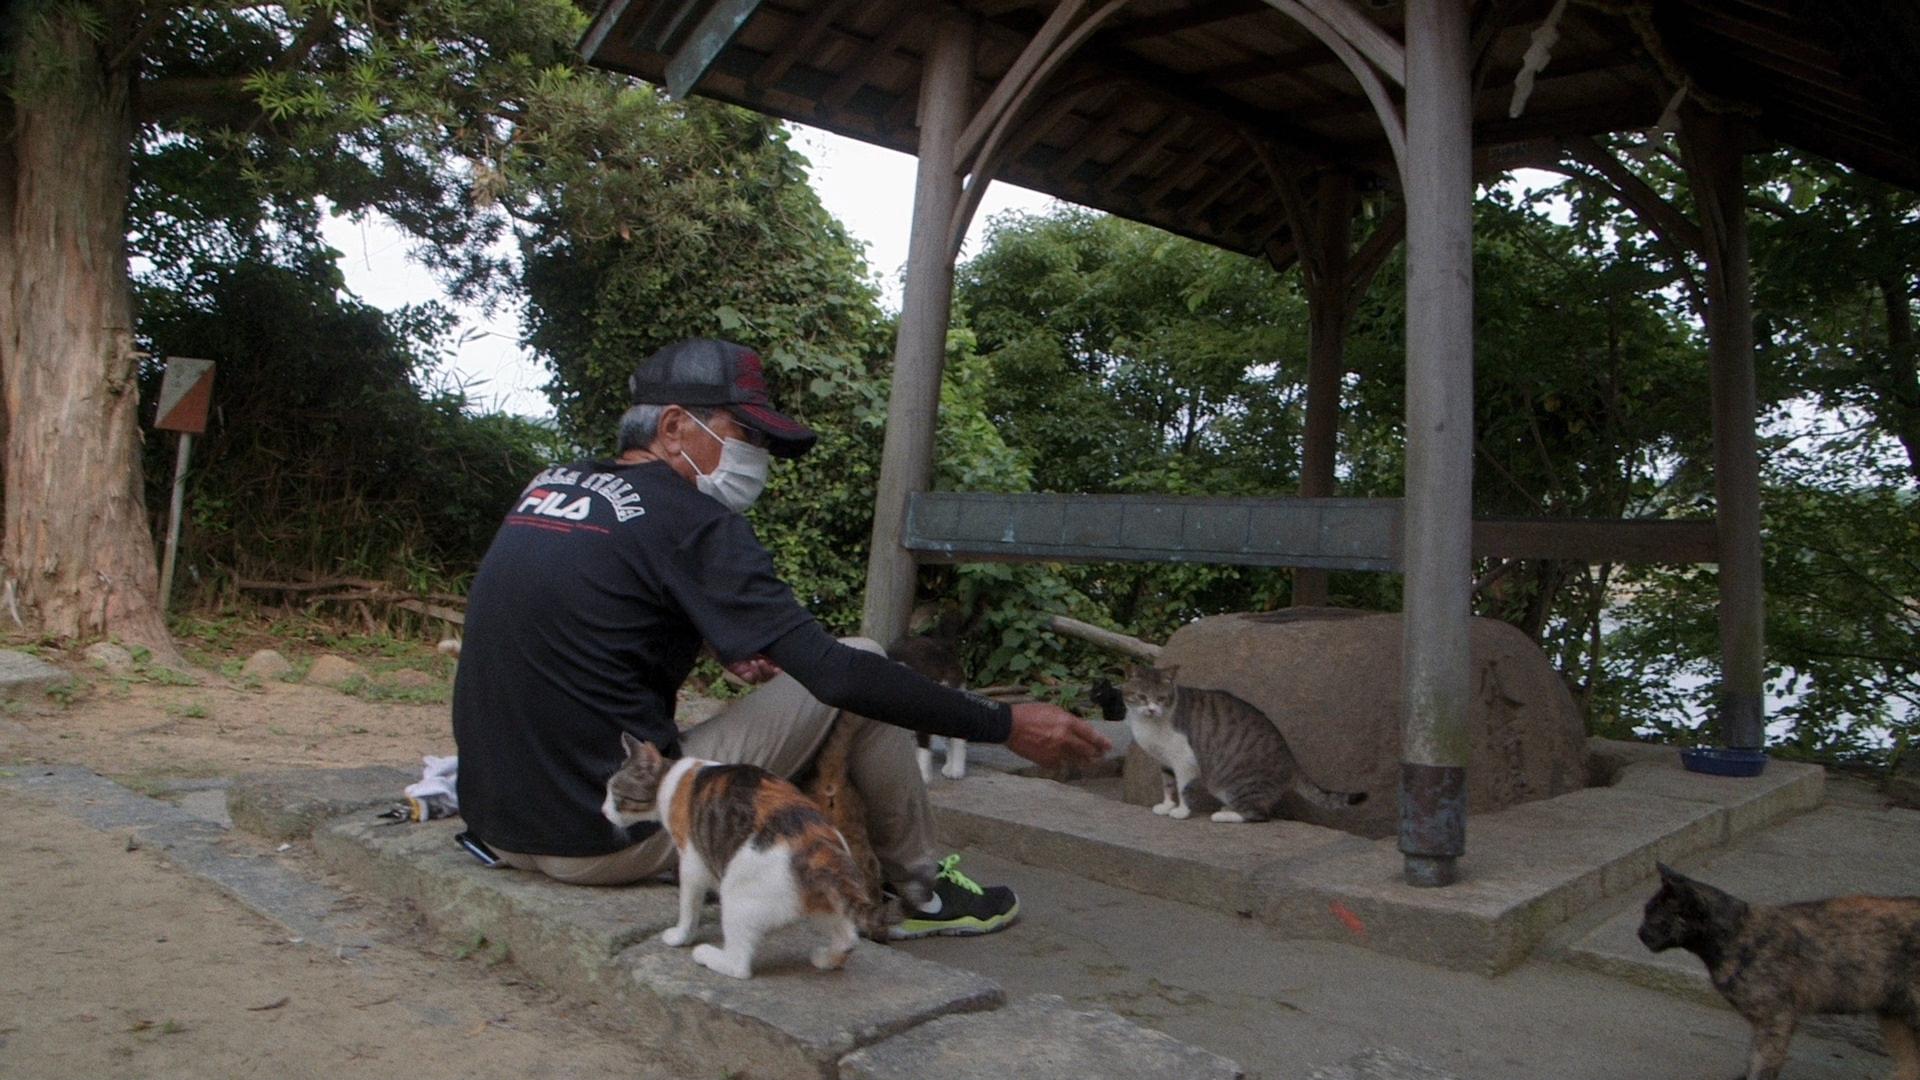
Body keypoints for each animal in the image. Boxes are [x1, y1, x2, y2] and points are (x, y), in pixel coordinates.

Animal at [602, 730, 867, 976]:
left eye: (615, 793)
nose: (603, 811)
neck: (672, 778)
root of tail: (820, 848)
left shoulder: (691, 862)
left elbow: (688, 908)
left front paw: (679, 937)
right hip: (823, 903)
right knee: (849, 938)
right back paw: (826, 959)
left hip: (736, 894)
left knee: (740, 966)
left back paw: (708, 955)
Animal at [1113, 661, 1367, 818]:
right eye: (1141, 697)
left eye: (1161, 698)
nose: (1152, 710)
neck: (1151, 724)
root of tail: (1292, 761)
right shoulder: (1165, 761)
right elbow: (1168, 785)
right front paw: (1166, 806)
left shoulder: (1184, 760)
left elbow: (1183, 788)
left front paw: (1181, 812)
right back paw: (1227, 809)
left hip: (1234, 782)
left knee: (1259, 815)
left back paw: (1222, 816)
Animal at [1635, 857, 1920, 1076]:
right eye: (1646, 911)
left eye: (1653, 916)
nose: (1639, 933)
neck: (1736, 934)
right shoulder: (1763, 1022)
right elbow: (1752, 1059)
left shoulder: (1775, 1017)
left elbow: (1761, 1065)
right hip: (1894, 1016)